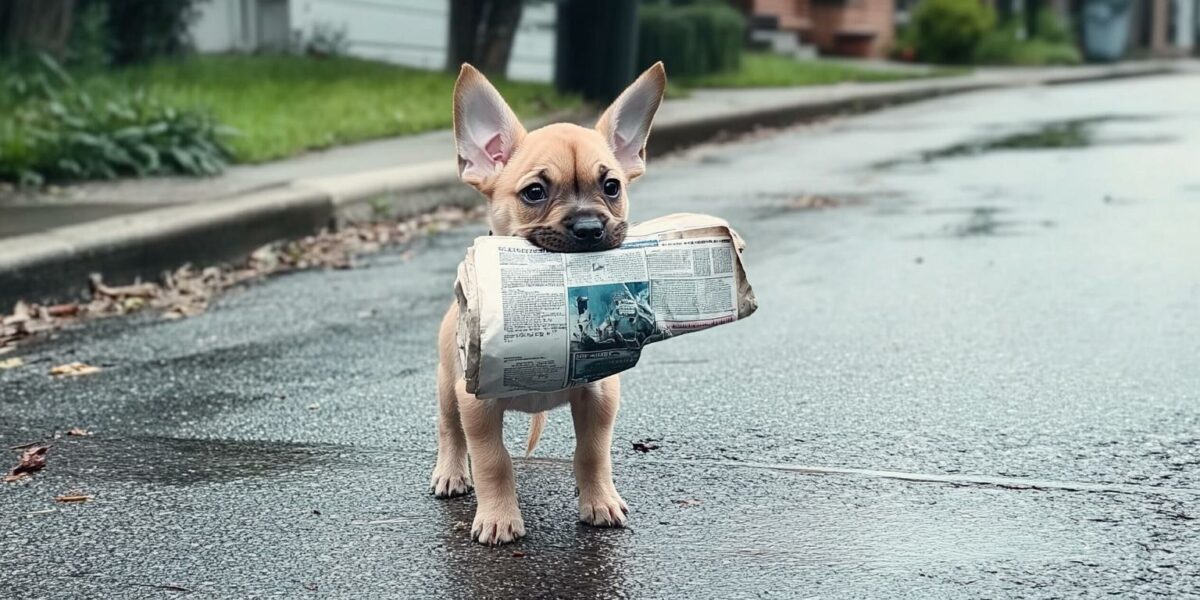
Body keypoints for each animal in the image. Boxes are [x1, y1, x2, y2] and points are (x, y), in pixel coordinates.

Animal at [434, 63, 667, 547]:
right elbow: (492, 461)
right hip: (448, 385)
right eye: (535, 192)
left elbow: (592, 453)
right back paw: (450, 472)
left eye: (611, 187)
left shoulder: (599, 397)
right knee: (449, 429)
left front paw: (598, 499)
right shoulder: (477, 408)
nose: (589, 227)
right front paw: (499, 516)